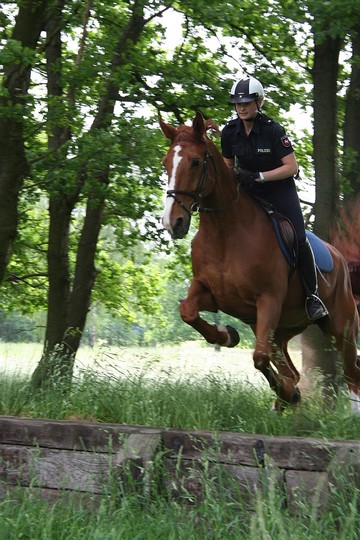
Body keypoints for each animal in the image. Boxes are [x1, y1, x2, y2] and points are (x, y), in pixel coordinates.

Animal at [160, 112, 360, 412]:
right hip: (282, 328)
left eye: (195, 162)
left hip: (341, 326)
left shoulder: (268, 300)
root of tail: (338, 257)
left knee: (351, 373)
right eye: (166, 163)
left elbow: (259, 357)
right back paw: (285, 400)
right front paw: (227, 334)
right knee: (293, 371)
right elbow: (188, 312)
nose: (173, 223)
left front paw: (288, 394)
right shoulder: (211, 293)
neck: (225, 233)